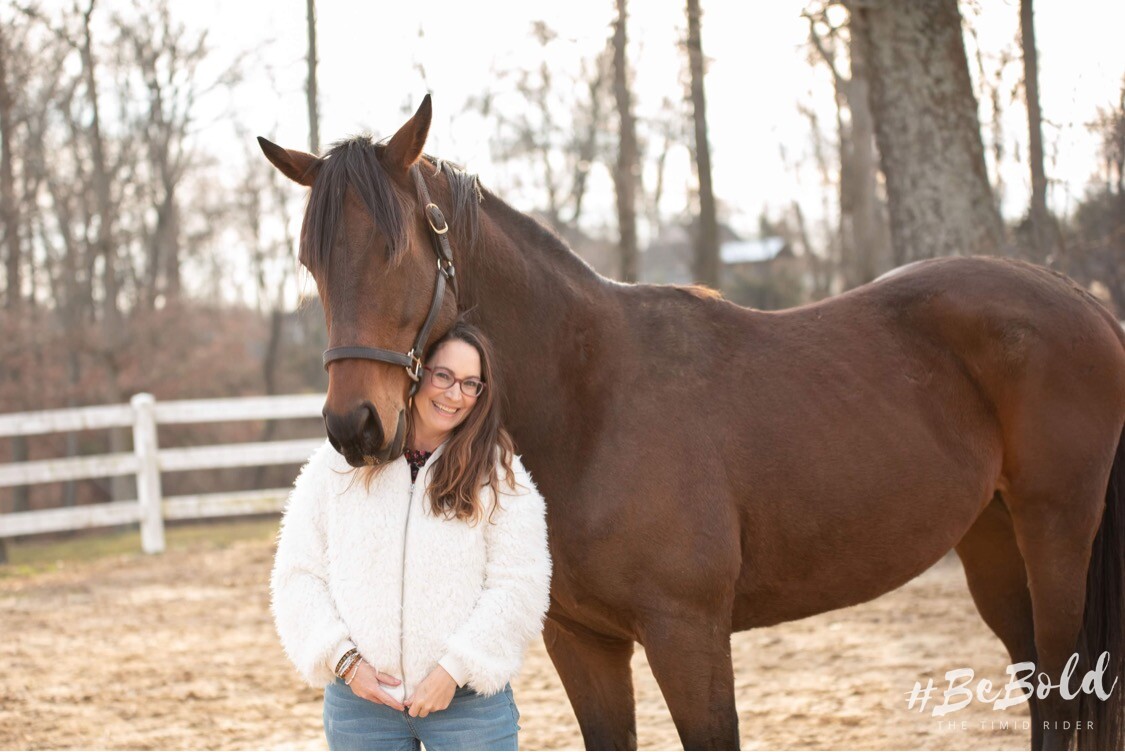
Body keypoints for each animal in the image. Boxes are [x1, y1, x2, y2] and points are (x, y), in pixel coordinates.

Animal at [258, 95, 1125, 752]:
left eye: (397, 251)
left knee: (1060, 689)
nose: (355, 427)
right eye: (310, 262)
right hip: (991, 541)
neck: (590, 404)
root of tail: (1077, 299)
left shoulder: (688, 636)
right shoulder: (583, 643)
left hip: (1055, 532)